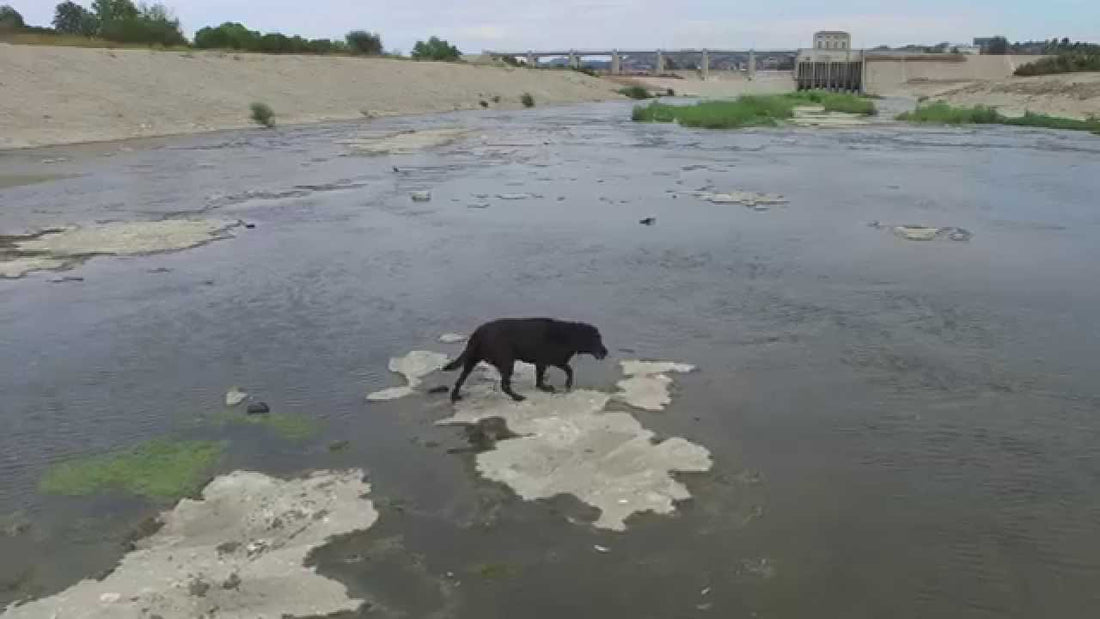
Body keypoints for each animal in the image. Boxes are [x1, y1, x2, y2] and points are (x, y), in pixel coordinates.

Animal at [440, 318, 611, 402]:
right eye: (597, 338)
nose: (606, 351)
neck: (569, 335)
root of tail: (478, 332)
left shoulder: (543, 362)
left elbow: (540, 378)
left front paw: (543, 387)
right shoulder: (553, 360)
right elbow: (569, 370)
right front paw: (567, 384)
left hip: (471, 360)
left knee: (460, 379)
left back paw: (455, 397)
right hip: (507, 361)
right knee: (504, 385)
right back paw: (517, 397)